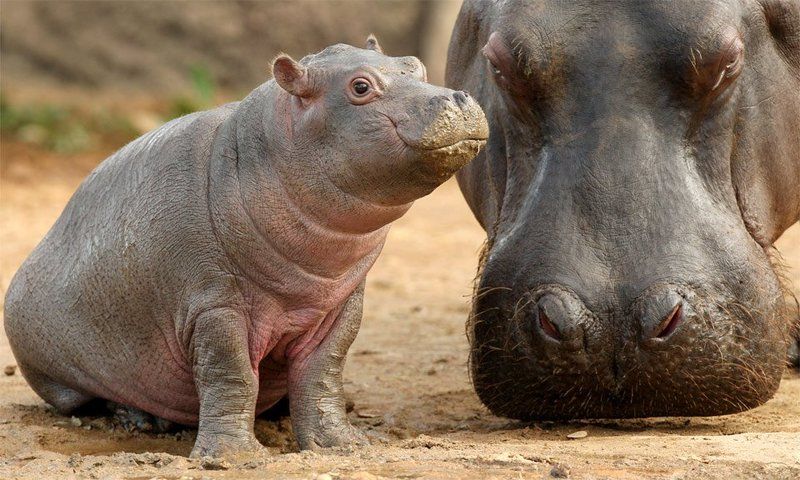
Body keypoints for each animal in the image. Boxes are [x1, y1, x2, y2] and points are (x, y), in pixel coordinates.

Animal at [4, 37, 488, 458]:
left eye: (416, 65)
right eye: (360, 87)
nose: (457, 98)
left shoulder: (341, 304)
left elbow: (324, 372)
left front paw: (342, 444)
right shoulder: (214, 305)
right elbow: (230, 373)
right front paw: (233, 456)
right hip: (59, 371)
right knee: (91, 399)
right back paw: (141, 421)